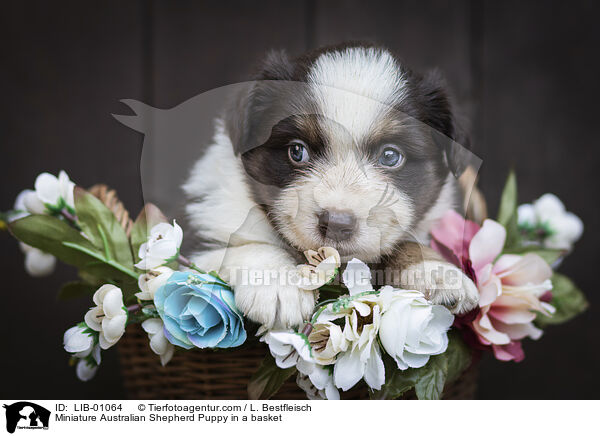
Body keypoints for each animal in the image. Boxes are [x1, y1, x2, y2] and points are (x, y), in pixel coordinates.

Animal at [183, 43, 478, 328]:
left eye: (390, 156)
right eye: (297, 151)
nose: (336, 223)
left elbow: (405, 243)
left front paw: (437, 272)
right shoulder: (198, 243)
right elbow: (247, 244)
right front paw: (277, 283)